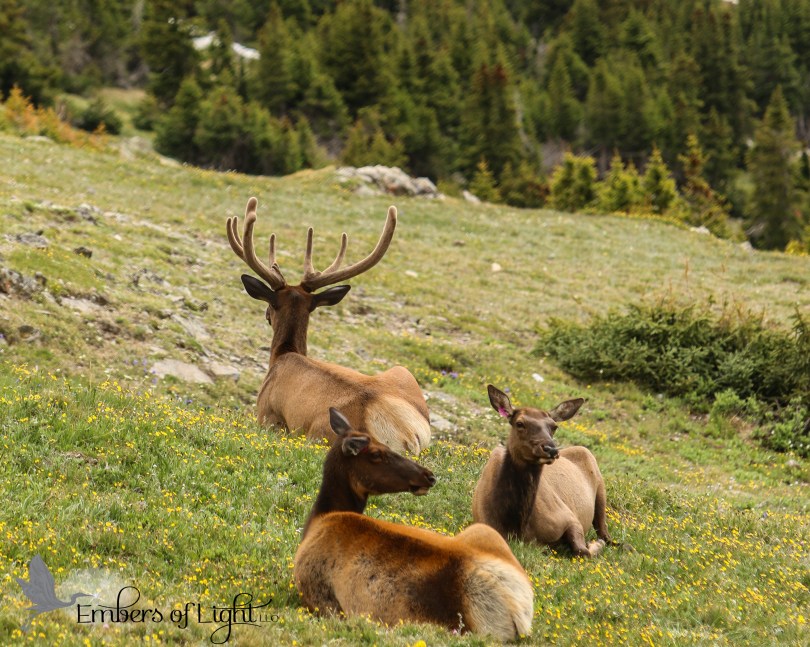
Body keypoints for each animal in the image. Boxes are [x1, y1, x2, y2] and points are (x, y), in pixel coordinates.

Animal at [227, 197, 430, 454]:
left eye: (271, 305)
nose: (266, 315)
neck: (282, 355)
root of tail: (406, 434)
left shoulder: (267, 414)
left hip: (321, 434)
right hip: (402, 371)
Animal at [294, 408, 534, 641]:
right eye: (376, 454)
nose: (428, 475)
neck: (322, 517)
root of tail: (519, 609)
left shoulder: (320, 596)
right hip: (484, 531)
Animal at [472, 385, 612, 558]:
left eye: (554, 426)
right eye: (520, 423)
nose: (551, 449)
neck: (516, 526)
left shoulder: (570, 517)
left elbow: (583, 551)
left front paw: (593, 544)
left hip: (600, 488)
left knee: (605, 533)